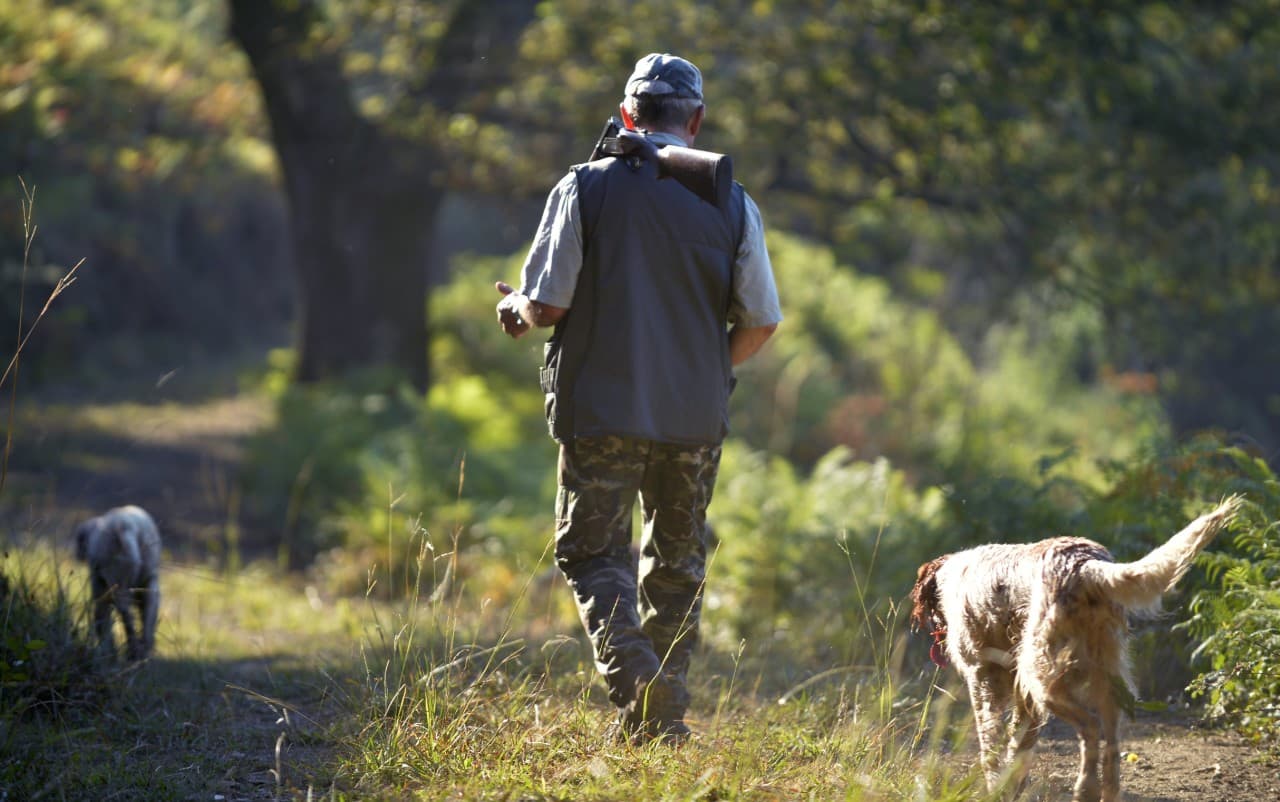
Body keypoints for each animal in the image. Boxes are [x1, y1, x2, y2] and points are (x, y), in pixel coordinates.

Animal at [74, 503, 162, 660]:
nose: (76, 553)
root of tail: (124, 528)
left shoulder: (98, 577)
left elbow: (101, 614)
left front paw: (107, 651)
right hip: (147, 576)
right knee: (148, 608)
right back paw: (142, 652)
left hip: (117, 574)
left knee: (123, 610)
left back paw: (128, 651)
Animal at [906, 498, 1244, 798]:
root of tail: (1086, 565)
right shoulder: (1020, 691)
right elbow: (1019, 744)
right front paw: (1011, 785)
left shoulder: (983, 679)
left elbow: (990, 742)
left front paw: (995, 787)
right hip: (1102, 677)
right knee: (1112, 744)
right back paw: (1103, 792)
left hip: (1041, 675)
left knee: (1090, 727)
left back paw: (1084, 788)